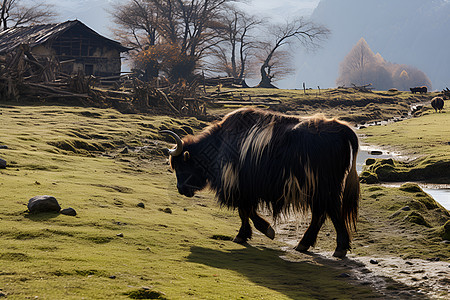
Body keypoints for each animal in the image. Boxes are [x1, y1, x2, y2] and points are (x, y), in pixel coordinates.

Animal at [160, 108, 360, 258]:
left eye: (182, 165)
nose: (181, 189)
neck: (219, 144)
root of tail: (342, 129)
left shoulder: (240, 187)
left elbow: (245, 211)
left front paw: (261, 231)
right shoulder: (244, 189)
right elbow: (245, 212)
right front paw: (247, 234)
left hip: (325, 187)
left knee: (332, 211)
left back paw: (340, 248)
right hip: (318, 189)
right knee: (321, 214)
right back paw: (304, 244)